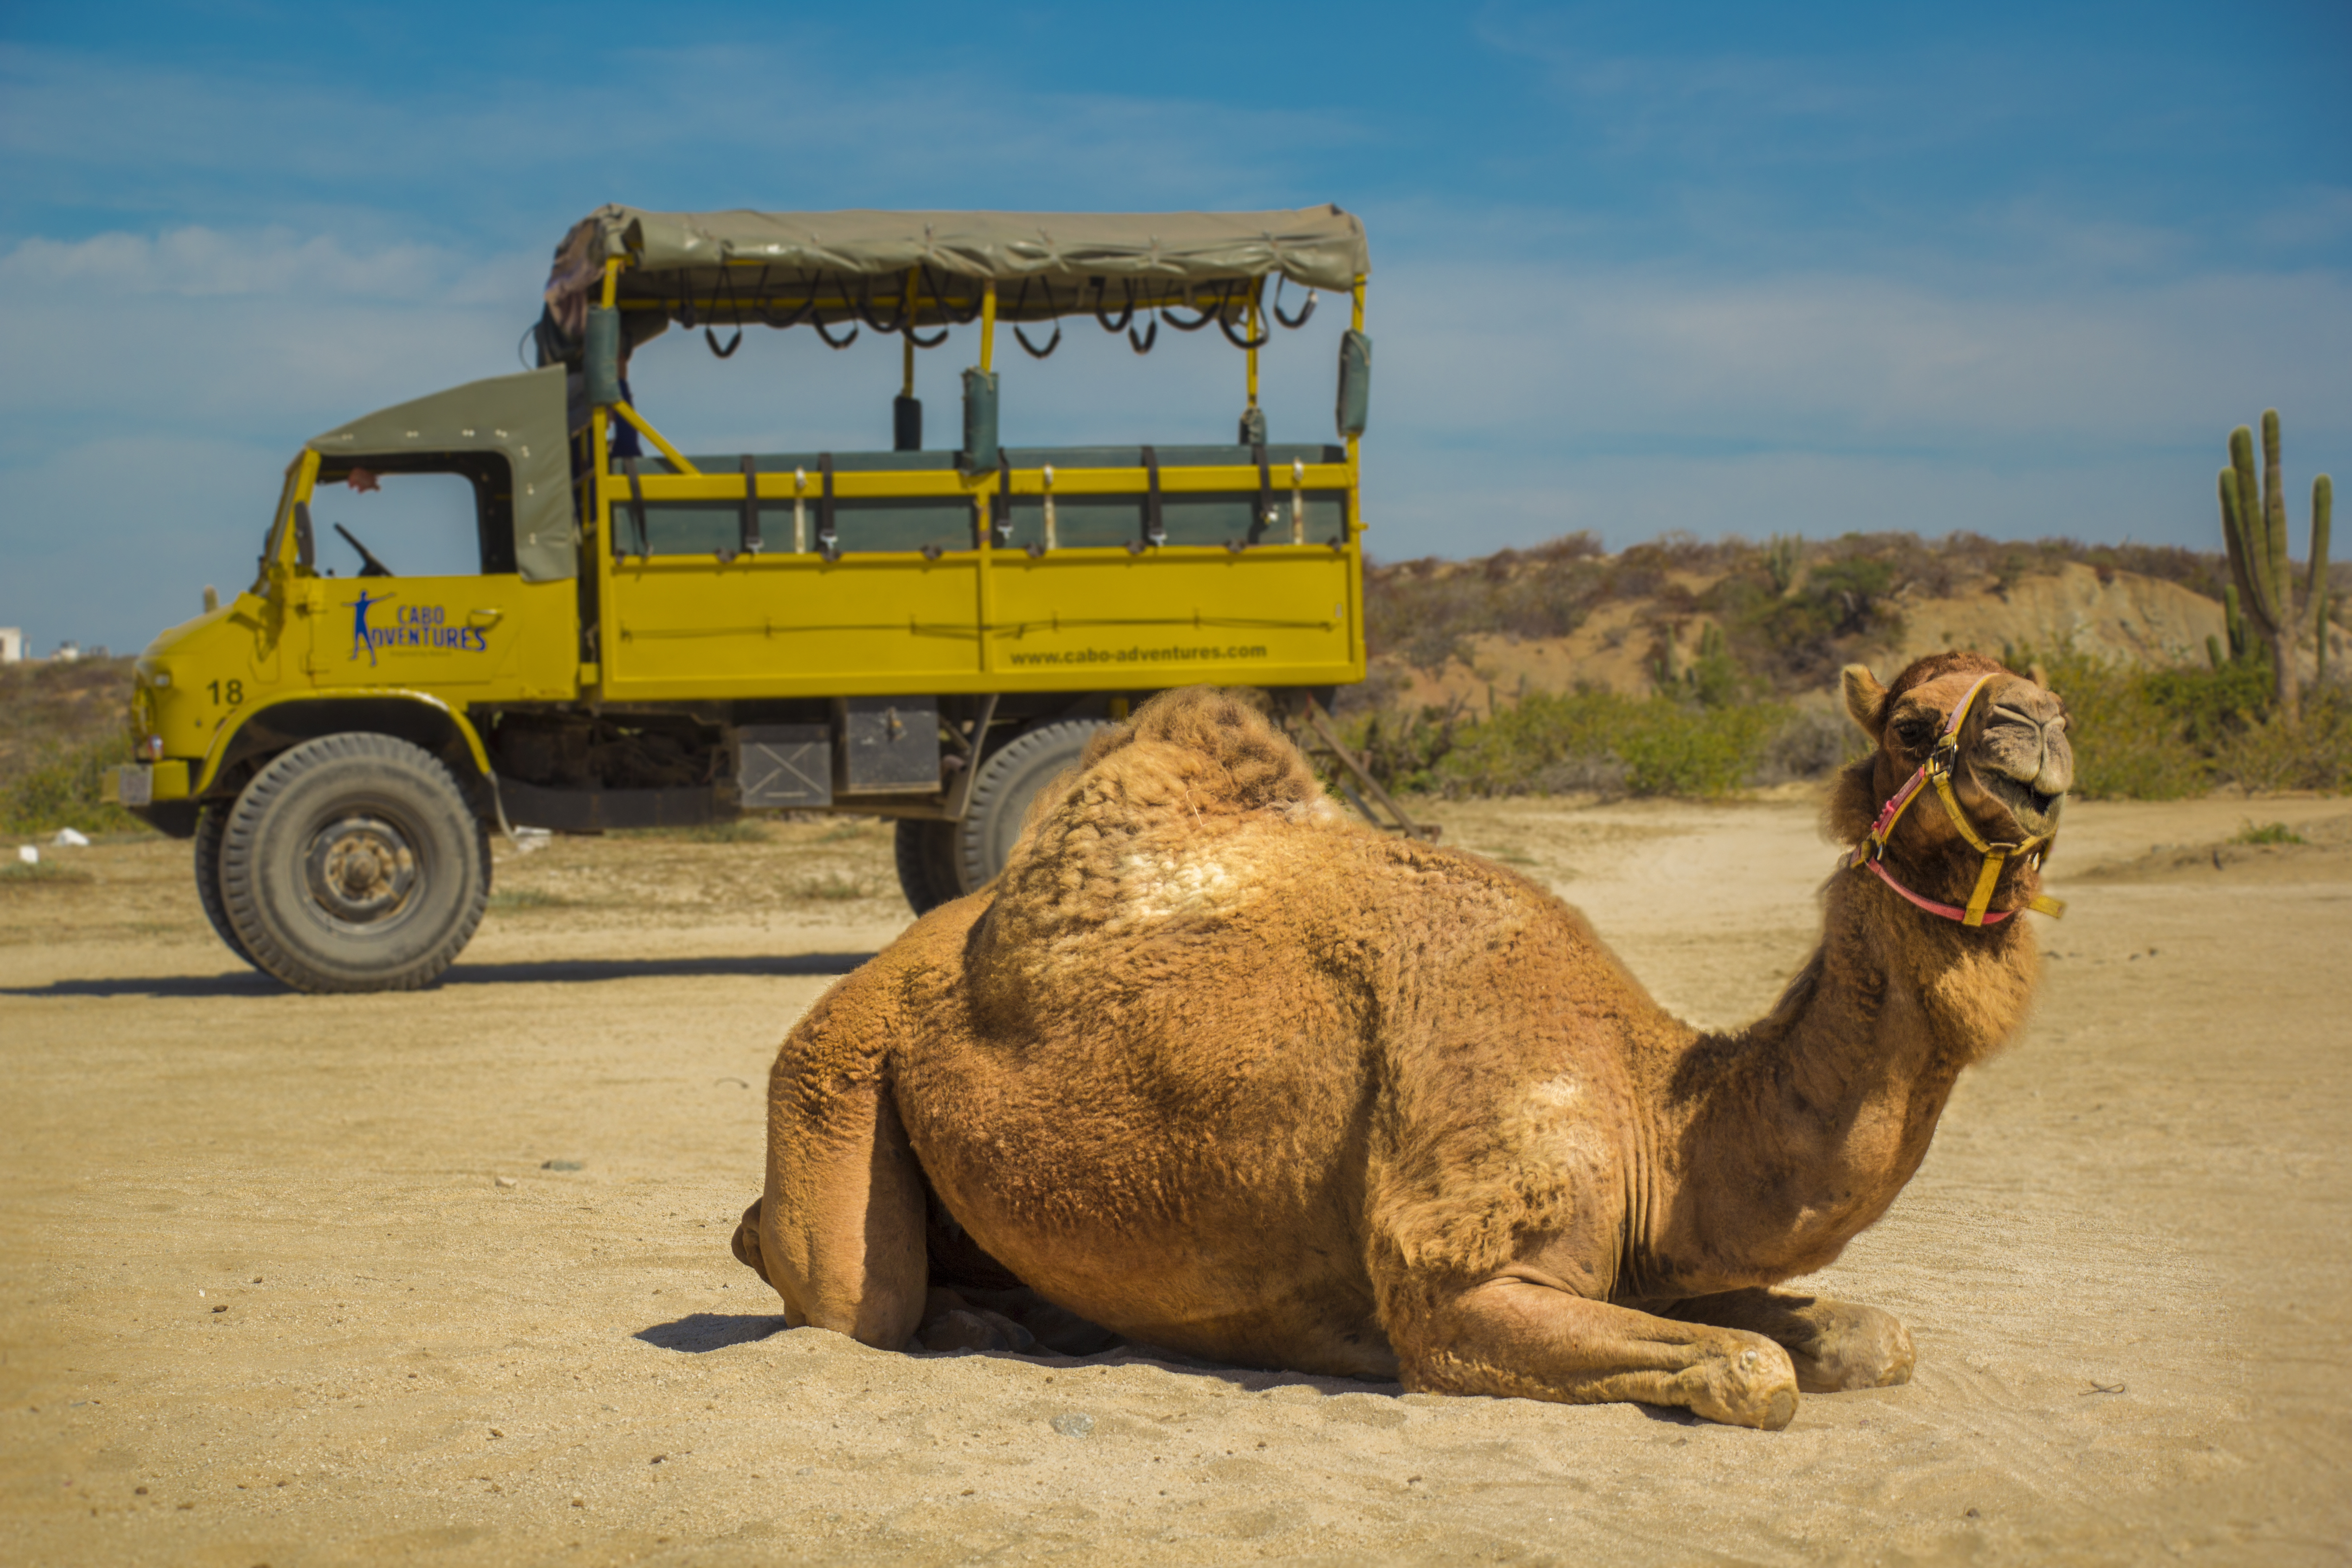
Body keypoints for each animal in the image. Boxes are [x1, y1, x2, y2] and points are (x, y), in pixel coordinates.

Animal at [732, 652, 2072, 1429]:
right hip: (832, 1063)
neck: (1651, 1106)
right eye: (1910, 726)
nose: (2036, 736)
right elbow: (1755, 1369)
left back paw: (1027, 1320)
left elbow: (1868, 1337)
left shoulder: (1650, 1252)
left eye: (2049, 691)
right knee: (843, 1292)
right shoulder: (1458, 1281)